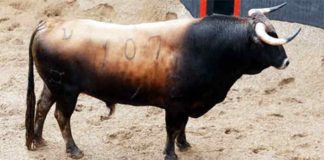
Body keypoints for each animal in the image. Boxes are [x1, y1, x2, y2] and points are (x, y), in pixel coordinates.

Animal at [26, 2, 302, 160]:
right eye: (268, 40)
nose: (286, 61)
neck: (207, 47)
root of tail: (48, 23)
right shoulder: (176, 103)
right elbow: (172, 128)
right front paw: (171, 153)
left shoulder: (189, 102)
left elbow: (183, 126)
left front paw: (184, 144)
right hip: (67, 91)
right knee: (61, 116)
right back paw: (73, 150)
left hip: (52, 85)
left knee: (42, 107)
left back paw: (38, 139)